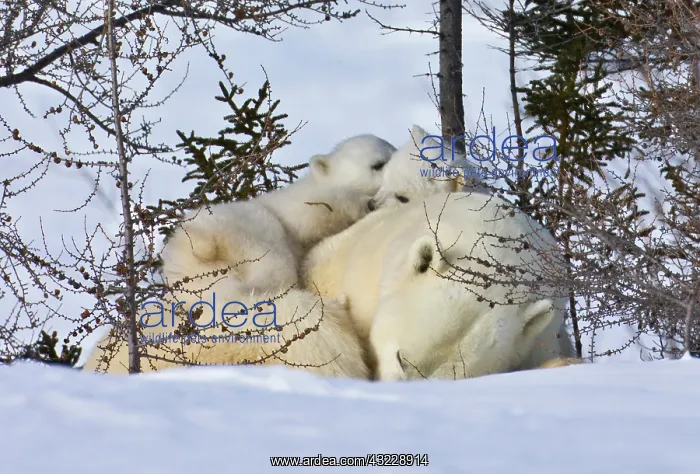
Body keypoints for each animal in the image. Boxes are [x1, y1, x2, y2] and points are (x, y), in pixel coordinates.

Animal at [160, 133, 397, 303]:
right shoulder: (301, 207)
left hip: (193, 276)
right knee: (274, 270)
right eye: (378, 164)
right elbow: (319, 215)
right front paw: (366, 203)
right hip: (254, 230)